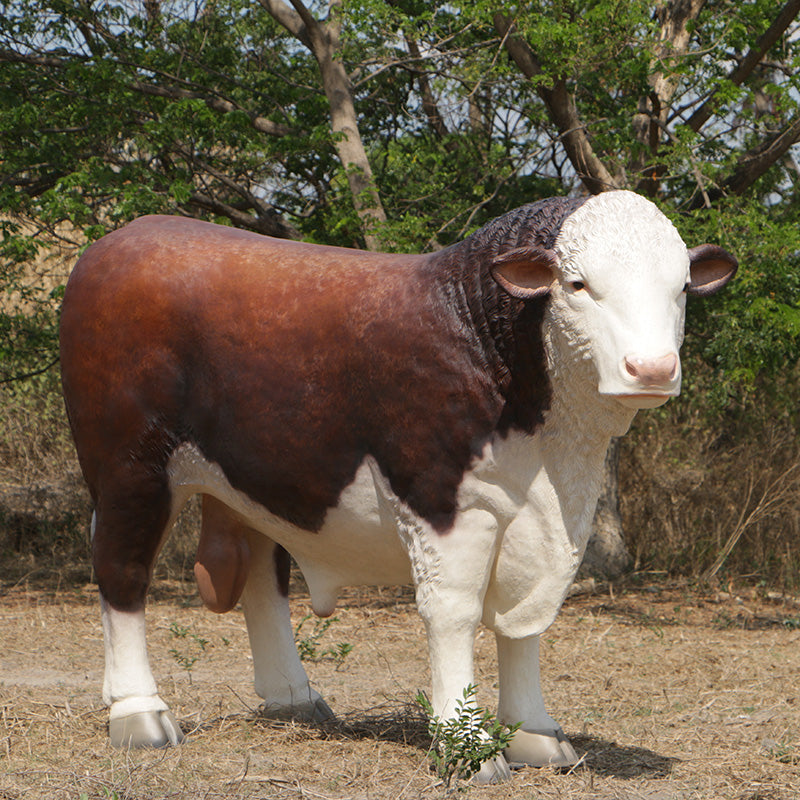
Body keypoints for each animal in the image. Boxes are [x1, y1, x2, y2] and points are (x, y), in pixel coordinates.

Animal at [59, 190, 736, 781]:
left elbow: (523, 624)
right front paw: (468, 746)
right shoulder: (443, 500)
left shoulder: (549, 520)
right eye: (577, 285)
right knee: (121, 572)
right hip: (129, 469)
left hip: (253, 477)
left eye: (681, 288)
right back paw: (140, 714)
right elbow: (455, 614)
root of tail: (126, 236)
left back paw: (295, 697)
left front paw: (536, 734)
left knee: (260, 575)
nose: (652, 369)